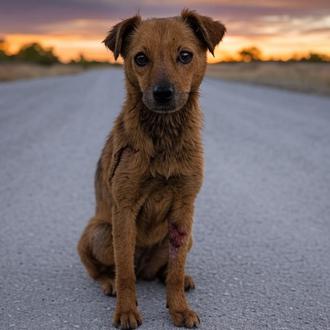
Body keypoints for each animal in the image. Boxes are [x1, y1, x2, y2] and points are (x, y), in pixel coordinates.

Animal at [78, 9, 224, 328]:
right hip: (100, 232)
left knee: (165, 271)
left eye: (185, 55)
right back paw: (108, 282)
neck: (164, 137)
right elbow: (125, 273)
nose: (163, 93)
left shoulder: (184, 209)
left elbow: (176, 268)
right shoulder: (124, 208)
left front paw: (179, 308)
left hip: (185, 236)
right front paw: (126, 311)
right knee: (105, 271)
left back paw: (178, 280)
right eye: (141, 58)